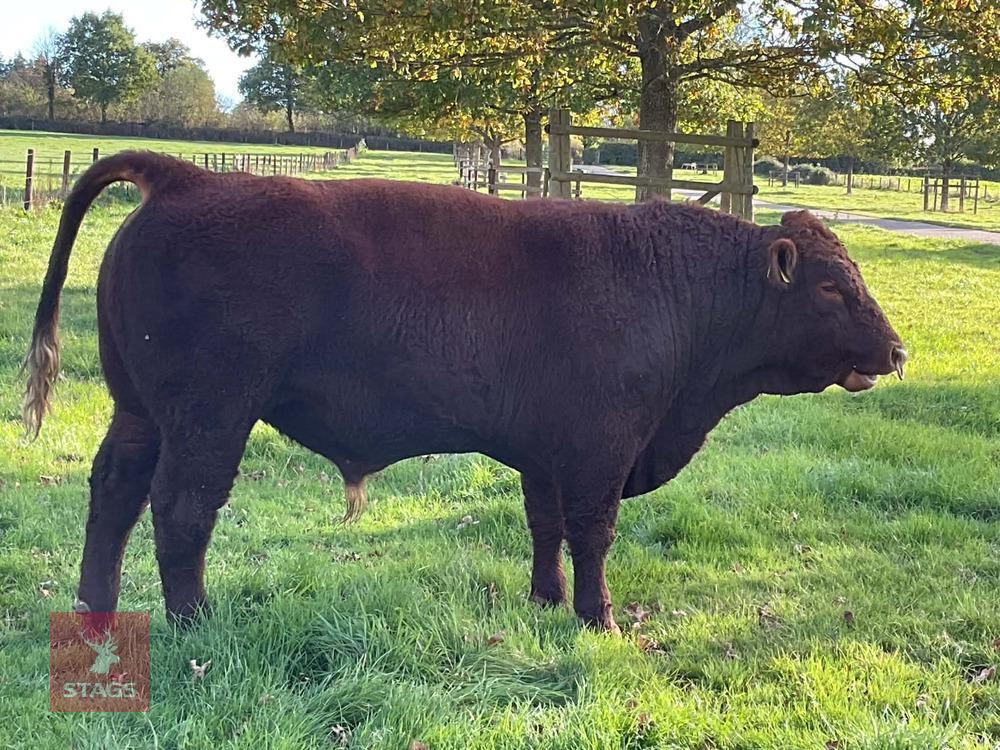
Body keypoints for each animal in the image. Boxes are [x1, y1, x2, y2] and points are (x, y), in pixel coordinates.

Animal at [24, 152, 906, 632]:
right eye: (831, 286)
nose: (897, 351)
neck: (672, 282)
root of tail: (184, 179)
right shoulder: (601, 450)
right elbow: (593, 534)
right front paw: (599, 617)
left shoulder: (547, 455)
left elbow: (547, 529)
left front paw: (548, 602)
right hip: (211, 414)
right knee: (182, 506)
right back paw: (196, 623)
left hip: (138, 411)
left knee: (114, 493)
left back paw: (97, 610)